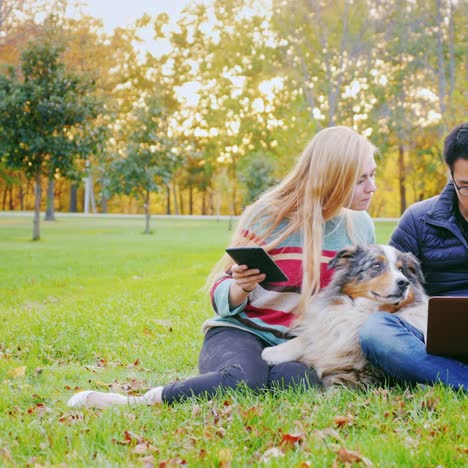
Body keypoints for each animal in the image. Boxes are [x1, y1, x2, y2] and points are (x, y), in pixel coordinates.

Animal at [262, 245, 430, 388]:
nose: (404, 283)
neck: (366, 310)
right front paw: (273, 352)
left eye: (402, 269)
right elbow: (309, 338)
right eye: (376, 266)